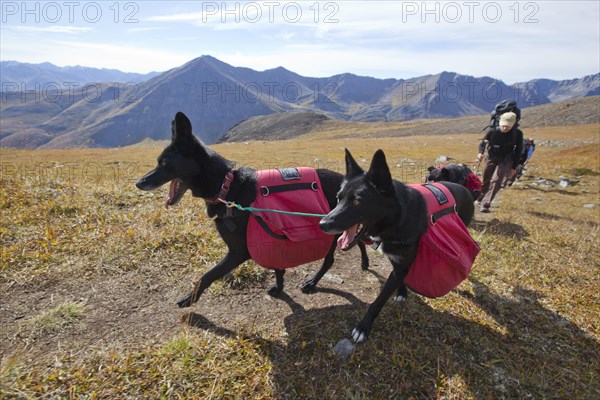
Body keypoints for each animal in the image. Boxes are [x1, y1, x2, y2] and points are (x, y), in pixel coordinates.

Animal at [137, 112, 370, 310]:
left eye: (164, 163)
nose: (138, 183)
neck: (227, 186)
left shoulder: (238, 252)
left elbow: (207, 275)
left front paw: (190, 298)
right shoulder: (271, 239)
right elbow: (278, 267)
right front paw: (279, 287)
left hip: (331, 229)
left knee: (331, 258)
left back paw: (313, 281)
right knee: (357, 239)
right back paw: (364, 262)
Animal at [318, 148, 474, 342]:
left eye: (356, 202)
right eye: (338, 198)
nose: (322, 224)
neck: (397, 218)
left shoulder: (402, 261)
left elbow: (378, 301)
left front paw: (363, 327)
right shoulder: (396, 259)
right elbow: (398, 277)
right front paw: (401, 292)